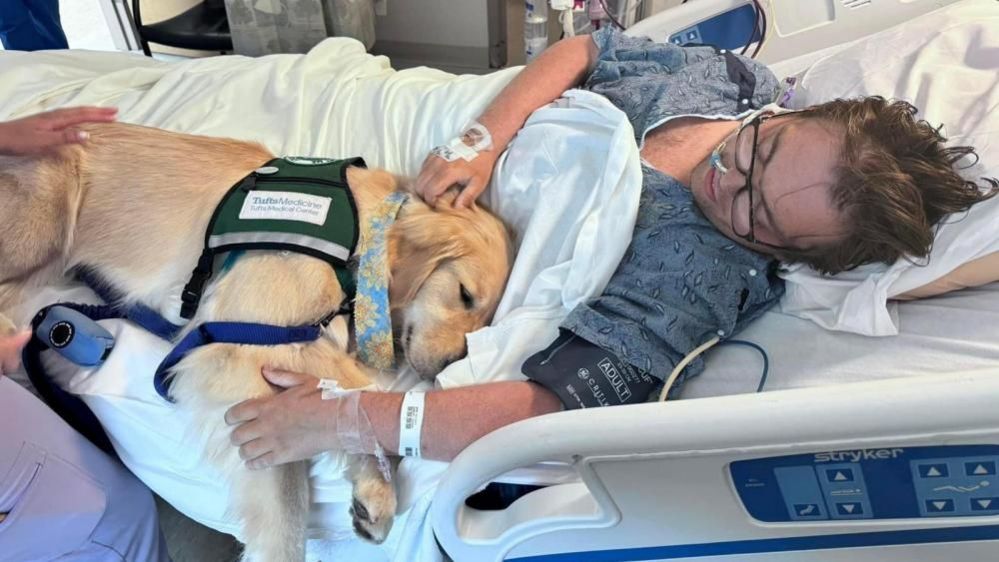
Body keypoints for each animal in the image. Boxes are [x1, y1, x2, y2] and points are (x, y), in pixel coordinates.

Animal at [0, 123, 516, 560]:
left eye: (484, 317)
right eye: (465, 294)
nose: (446, 368)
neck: (361, 236)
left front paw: (370, 488)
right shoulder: (239, 337)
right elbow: (354, 396)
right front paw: (378, 484)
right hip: (44, 219)